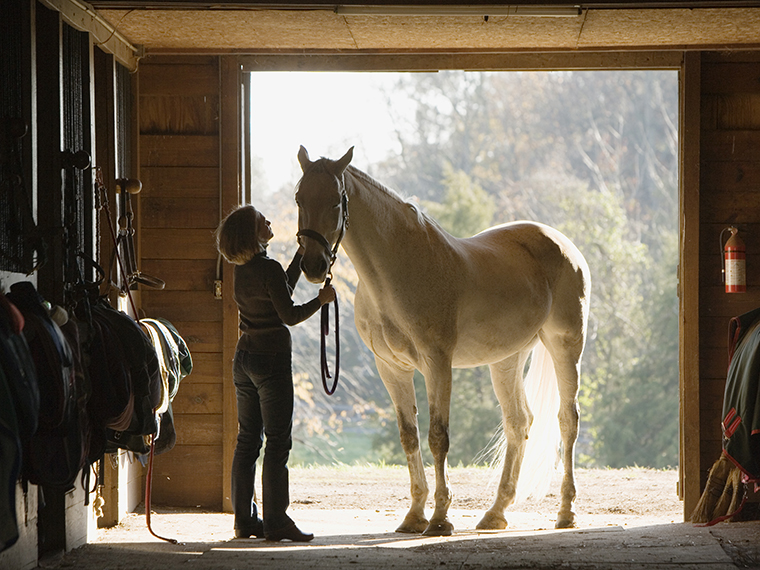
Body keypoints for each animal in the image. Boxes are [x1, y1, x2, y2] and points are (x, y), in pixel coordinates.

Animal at [294, 143, 592, 532]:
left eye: (335, 202)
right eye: (299, 198)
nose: (313, 266)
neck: (398, 270)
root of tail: (563, 243)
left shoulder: (438, 363)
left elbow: (438, 436)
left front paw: (439, 518)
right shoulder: (391, 368)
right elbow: (409, 435)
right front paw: (414, 515)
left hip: (565, 344)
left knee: (567, 420)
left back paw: (566, 511)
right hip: (507, 358)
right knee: (518, 422)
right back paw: (496, 513)